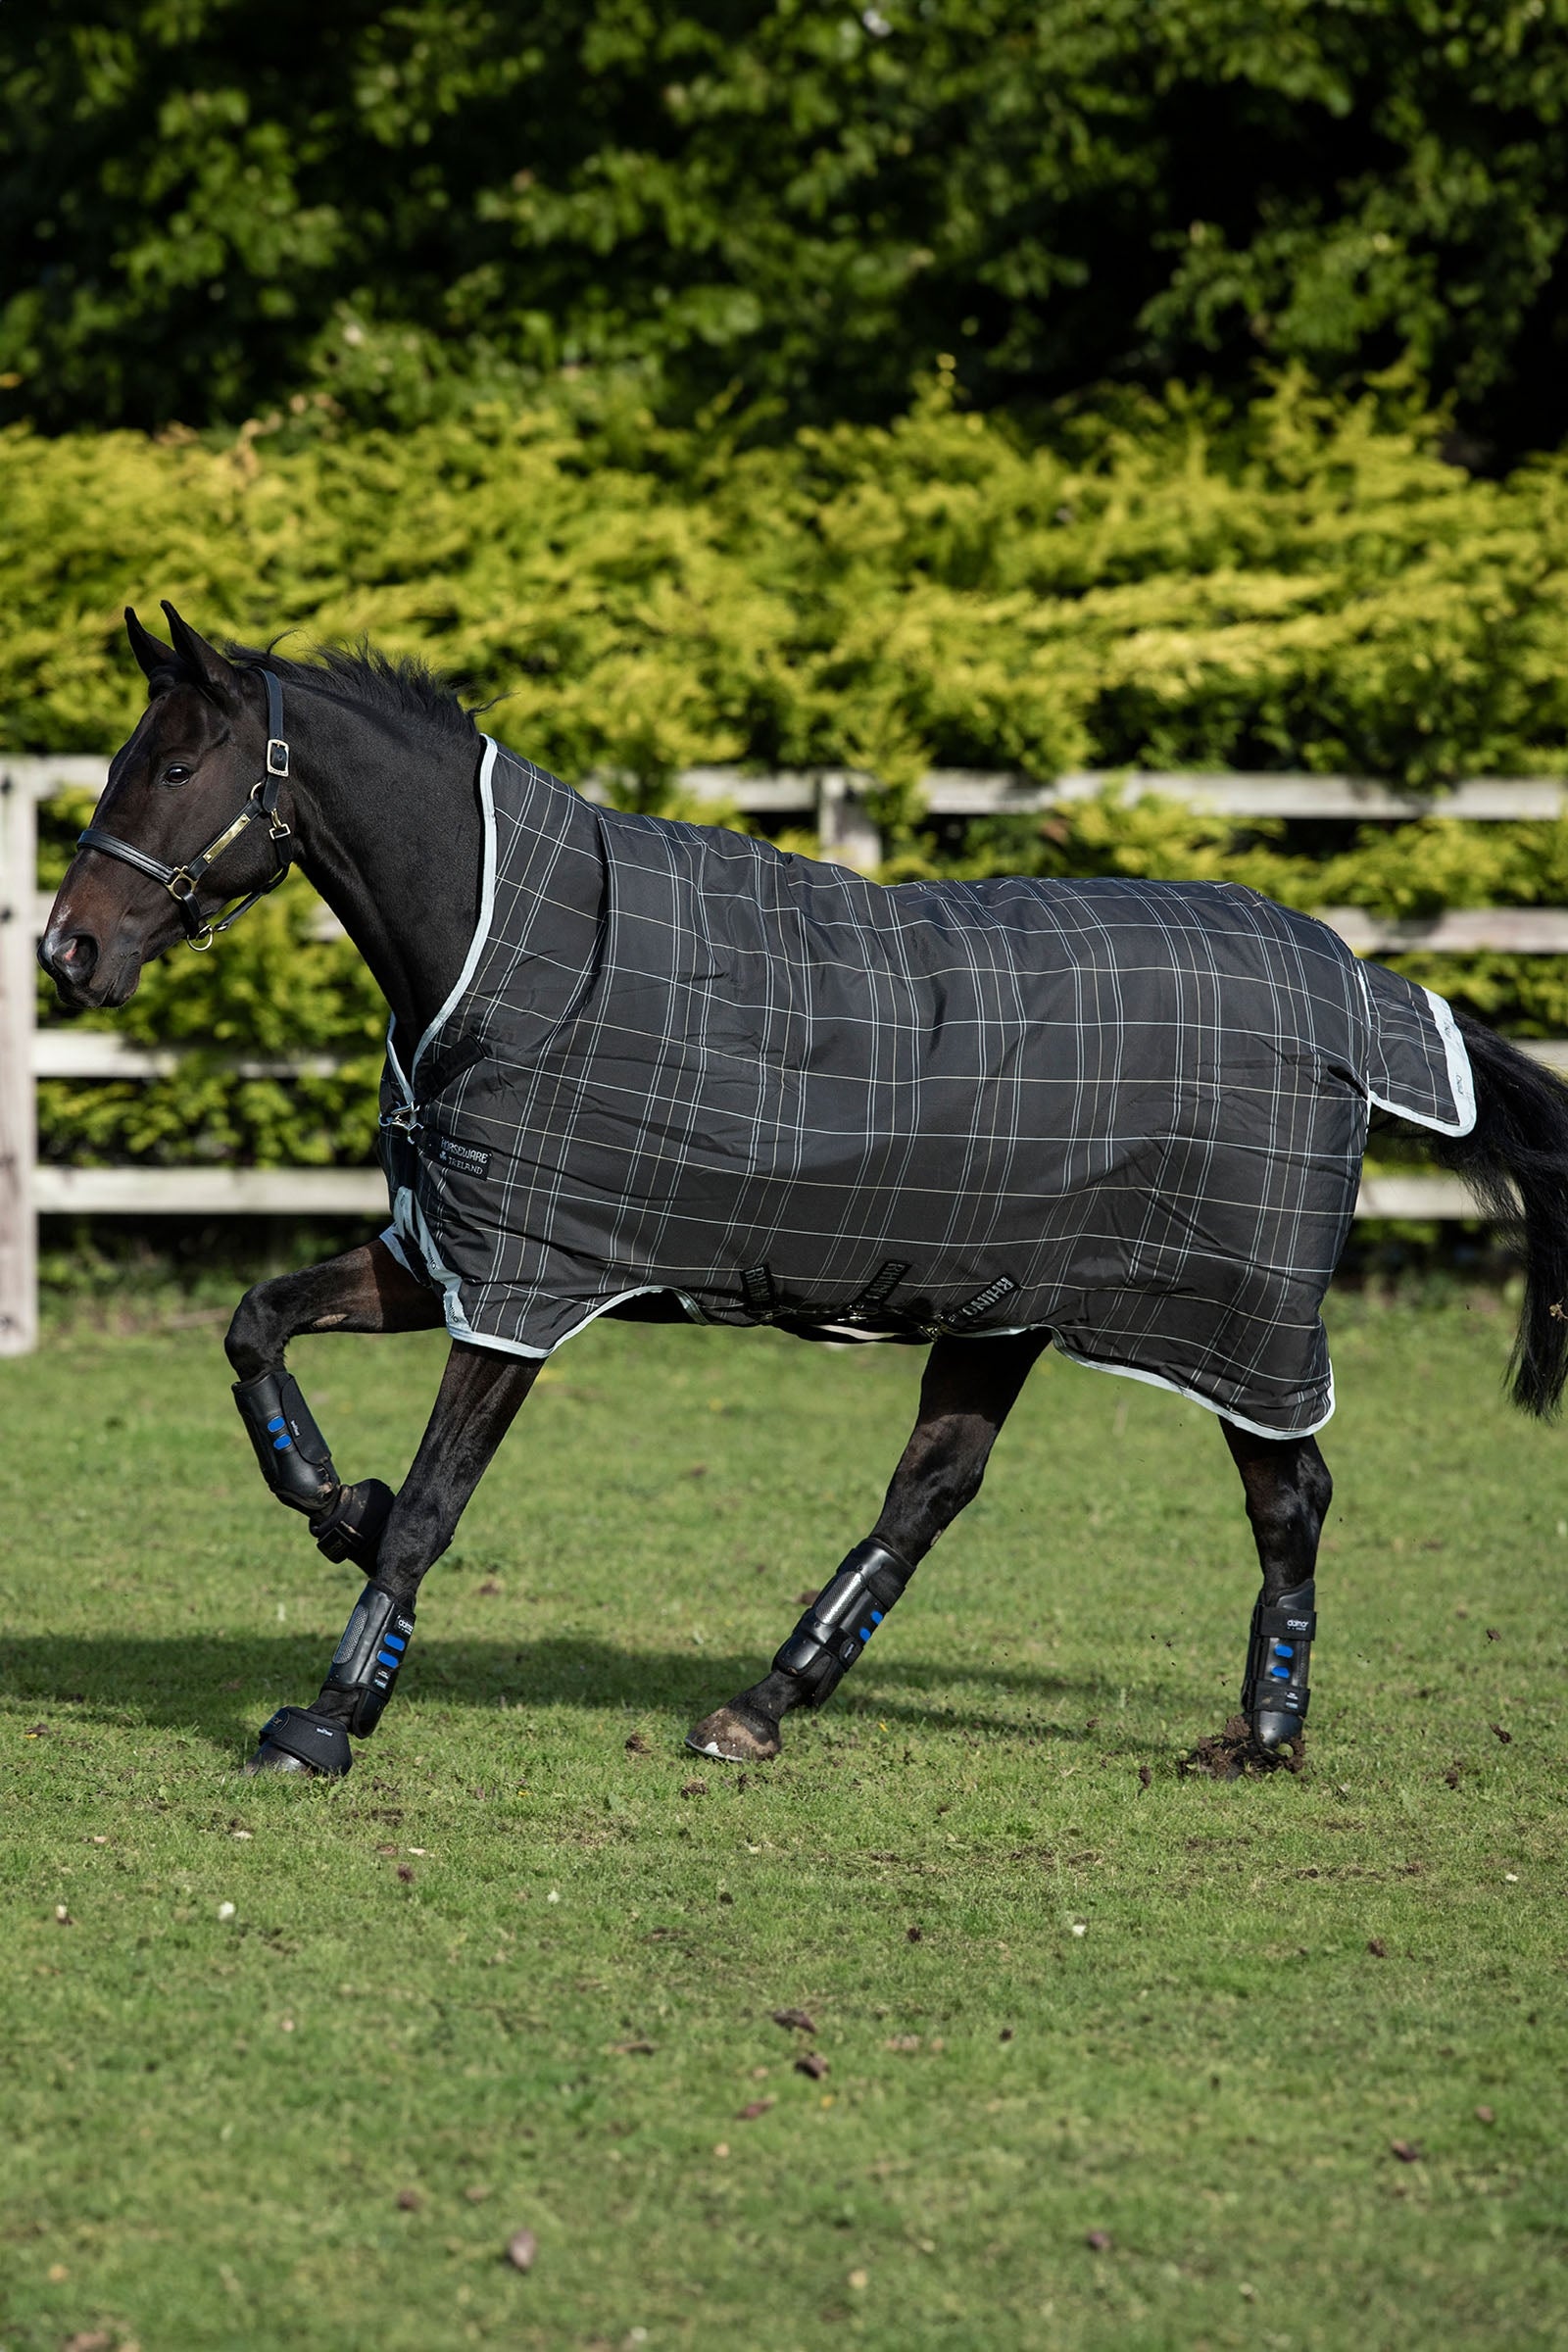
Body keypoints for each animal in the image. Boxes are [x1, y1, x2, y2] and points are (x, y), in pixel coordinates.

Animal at [38, 603, 1568, 1781]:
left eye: (178, 763)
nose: (69, 952)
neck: (511, 943)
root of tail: (1354, 987)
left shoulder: (523, 1288)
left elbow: (433, 1504)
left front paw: (329, 1715)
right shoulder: (456, 1254)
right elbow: (257, 1325)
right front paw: (331, 1503)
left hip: (1229, 1318)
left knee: (1290, 1494)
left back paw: (1262, 1736)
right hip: (1005, 1304)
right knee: (933, 1486)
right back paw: (765, 1705)